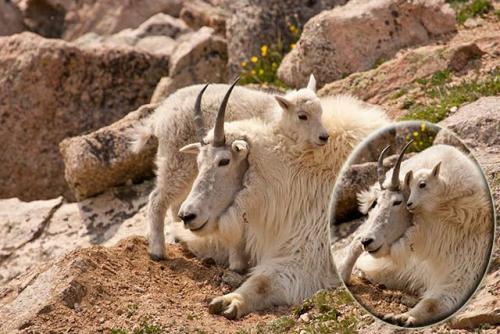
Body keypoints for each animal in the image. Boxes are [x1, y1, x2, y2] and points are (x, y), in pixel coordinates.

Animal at [177, 83, 390, 318]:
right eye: (198, 161)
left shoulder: (308, 254)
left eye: (224, 161)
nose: (187, 215)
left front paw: (230, 301)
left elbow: (263, 281)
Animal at [336, 142, 492, 326]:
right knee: (354, 243)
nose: (368, 241)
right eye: (377, 202)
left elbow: (433, 303)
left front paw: (403, 317)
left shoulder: (462, 274)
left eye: (397, 202)